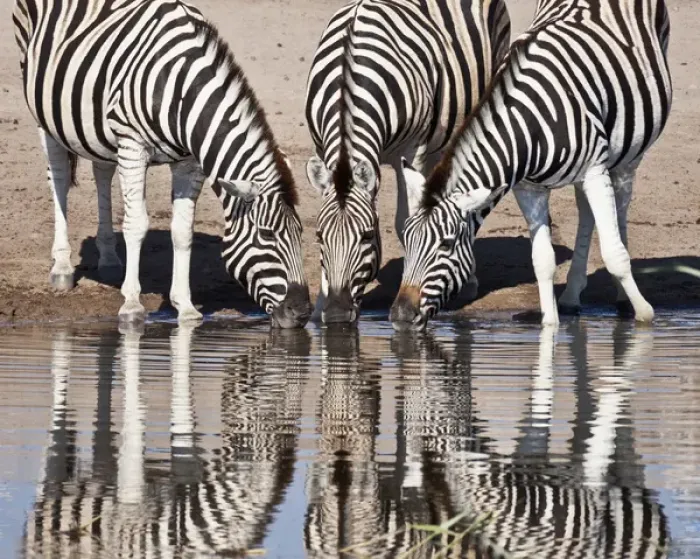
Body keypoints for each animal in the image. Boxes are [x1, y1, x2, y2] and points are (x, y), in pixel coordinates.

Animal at [13, 0, 311, 328]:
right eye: (267, 235)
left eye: (301, 233)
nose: (302, 313)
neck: (182, 93)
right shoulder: (132, 144)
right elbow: (136, 224)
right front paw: (131, 304)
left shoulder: (189, 161)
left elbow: (182, 231)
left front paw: (186, 307)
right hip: (44, 108)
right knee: (59, 176)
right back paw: (63, 267)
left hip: (98, 126)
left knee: (102, 169)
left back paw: (108, 257)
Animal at [304, 0, 511, 323]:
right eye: (319, 236)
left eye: (367, 236)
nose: (336, 315)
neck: (349, 78)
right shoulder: (322, 147)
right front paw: (318, 308)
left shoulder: (413, 149)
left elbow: (406, 222)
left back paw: (469, 281)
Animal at [390, 0, 672, 330]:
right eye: (407, 241)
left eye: (445, 246)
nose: (400, 316)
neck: (528, 126)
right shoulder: (529, 188)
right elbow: (542, 261)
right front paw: (549, 326)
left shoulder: (593, 170)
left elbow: (614, 254)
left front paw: (644, 314)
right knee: (586, 210)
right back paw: (571, 296)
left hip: (627, 153)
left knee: (621, 207)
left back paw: (621, 297)